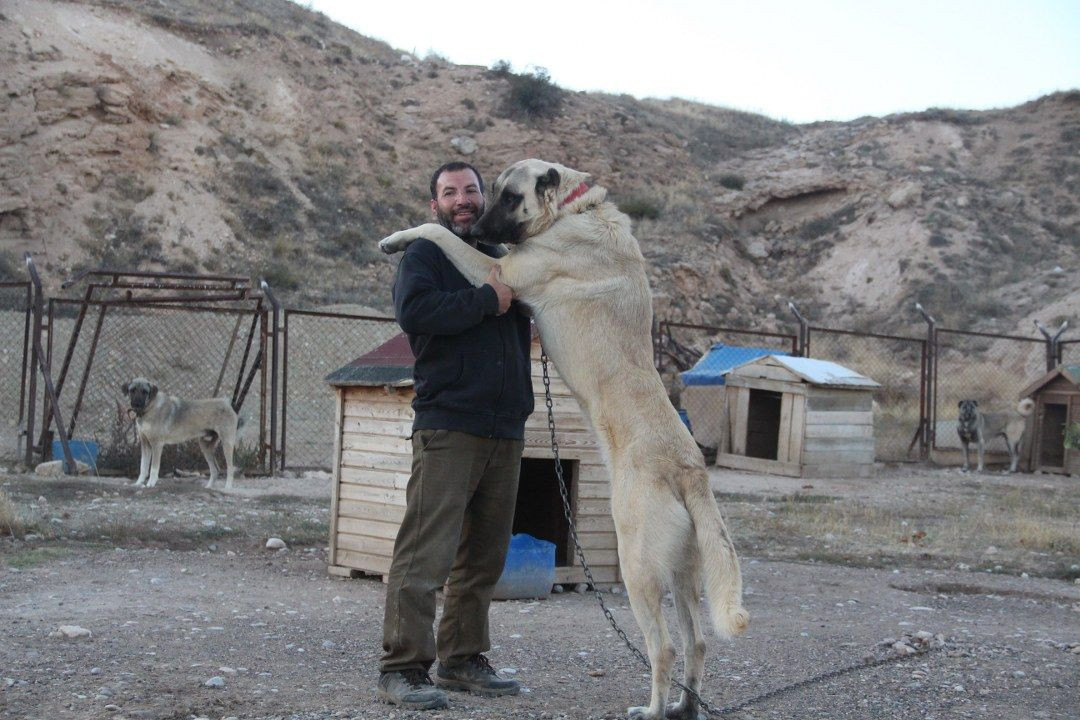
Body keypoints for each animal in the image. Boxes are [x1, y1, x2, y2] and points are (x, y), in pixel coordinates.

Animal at [382, 158, 751, 720]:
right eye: (484, 191)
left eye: (509, 196)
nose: (478, 228)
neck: (575, 211)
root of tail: (688, 469)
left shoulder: (501, 275)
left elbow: (434, 232)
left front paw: (396, 238)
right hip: (683, 573)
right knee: (698, 641)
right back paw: (682, 708)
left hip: (638, 566)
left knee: (663, 646)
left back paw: (652, 709)